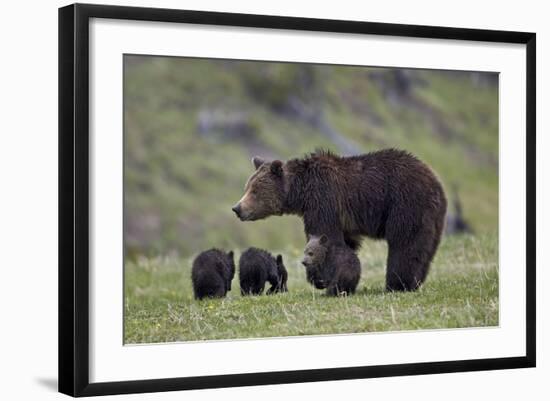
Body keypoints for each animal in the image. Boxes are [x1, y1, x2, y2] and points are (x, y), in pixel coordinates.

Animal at [233, 148, 448, 290]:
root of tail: (435, 181)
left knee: (404, 243)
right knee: (424, 248)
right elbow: (346, 242)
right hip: (432, 216)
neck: (301, 193)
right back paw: (415, 281)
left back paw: (398, 283)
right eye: (247, 187)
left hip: (405, 203)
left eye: (255, 191)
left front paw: (319, 277)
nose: (237, 208)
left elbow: (325, 236)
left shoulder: (324, 201)